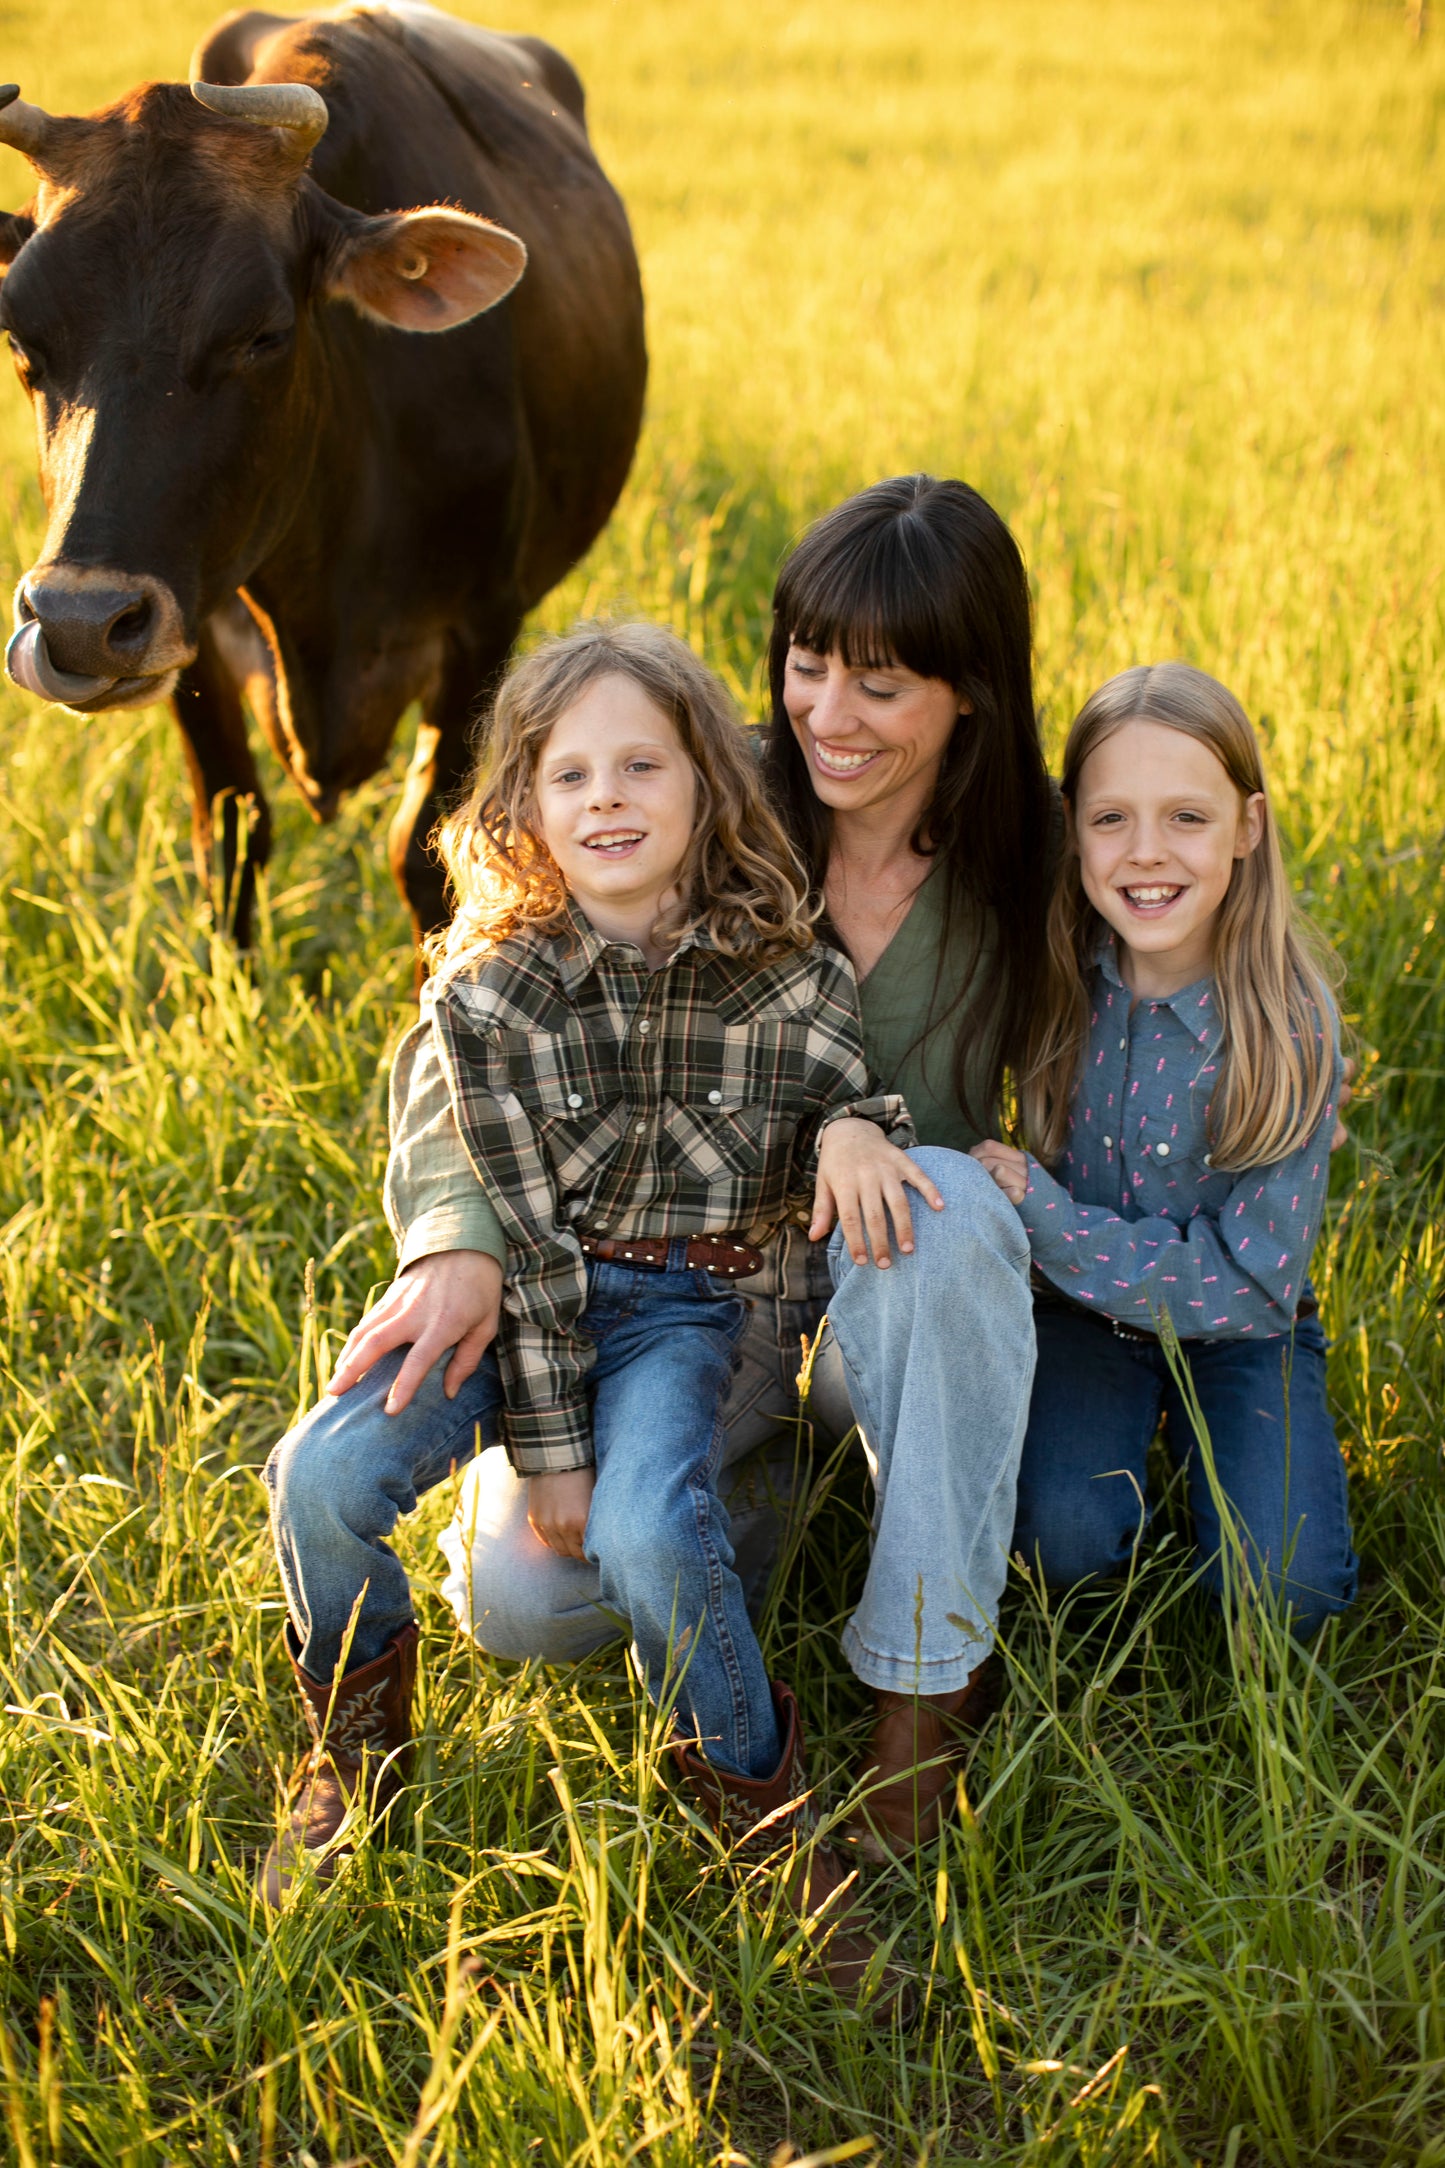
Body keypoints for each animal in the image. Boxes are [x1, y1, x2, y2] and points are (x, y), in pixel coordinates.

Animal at [0, 6, 645, 940]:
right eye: (19, 337)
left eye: (264, 333)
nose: (79, 623)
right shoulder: (195, 639)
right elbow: (232, 836)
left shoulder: (480, 629)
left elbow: (427, 855)